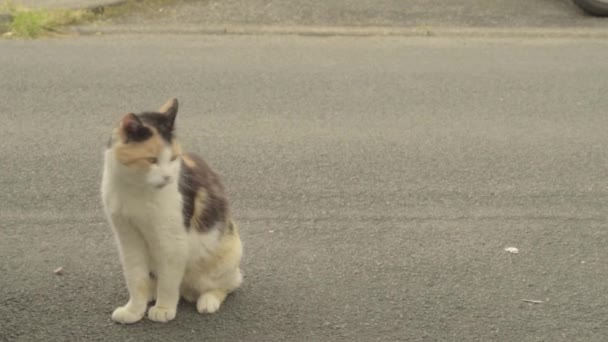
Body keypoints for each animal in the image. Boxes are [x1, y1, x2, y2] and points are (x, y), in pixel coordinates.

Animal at [101, 98, 242, 324]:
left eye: (174, 158)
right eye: (152, 160)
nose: (168, 177)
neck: (137, 189)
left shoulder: (171, 240)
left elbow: (168, 281)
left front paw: (164, 309)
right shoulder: (127, 237)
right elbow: (135, 278)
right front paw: (134, 310)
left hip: (226, 255)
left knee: (228, 284)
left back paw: (207, 300)